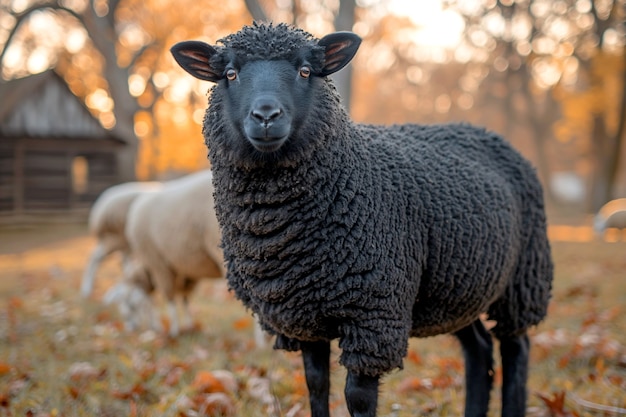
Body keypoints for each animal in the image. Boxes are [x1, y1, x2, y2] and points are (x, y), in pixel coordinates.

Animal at [169, 22, 552, 416]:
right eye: (230, 74)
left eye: (305, 70)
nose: (265, 116)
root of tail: (484, 132)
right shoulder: (303, 313)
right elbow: (315, 383)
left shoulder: (373, 314)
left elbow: (358, 397)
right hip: (459, 283)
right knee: (479, 348)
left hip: (523, 277)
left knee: (516, 347)